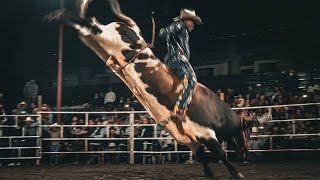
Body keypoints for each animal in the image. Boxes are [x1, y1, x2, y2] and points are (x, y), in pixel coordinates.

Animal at [46, 0, 272, 179]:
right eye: (248, 129)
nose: (245, 153)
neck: (217, 111)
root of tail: (132, 30)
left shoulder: (191, 139)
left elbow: (202, 158)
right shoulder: (206, 134)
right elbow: (221, 154)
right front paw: (238, 173)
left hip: (94, 40)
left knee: (83, 20)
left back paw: (60, 15)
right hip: (102, 35)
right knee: (84, 20)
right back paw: (55, 15)